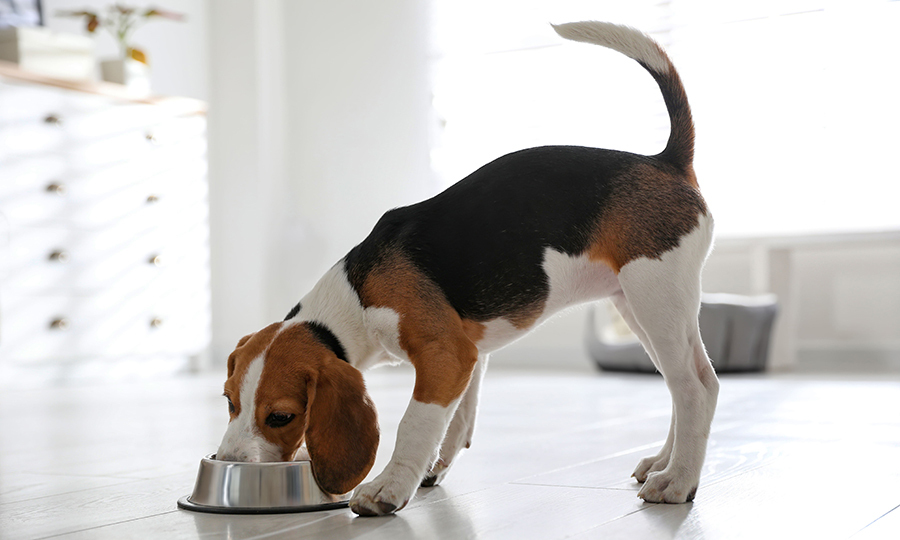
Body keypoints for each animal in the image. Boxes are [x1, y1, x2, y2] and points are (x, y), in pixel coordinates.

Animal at [216, 22, 716, 520]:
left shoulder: (445, 354)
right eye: (229, 401)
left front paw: (388, 487)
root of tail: (665, 161)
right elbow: (456, 419)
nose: (228, 461)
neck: (355, 294)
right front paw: (431, 467)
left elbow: (415, 422)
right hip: (638, 306)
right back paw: (662, 462)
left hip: (655, 296)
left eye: (281, 416)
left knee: (696, 388)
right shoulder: (469, 353)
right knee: (683, 385)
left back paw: (676, 480)